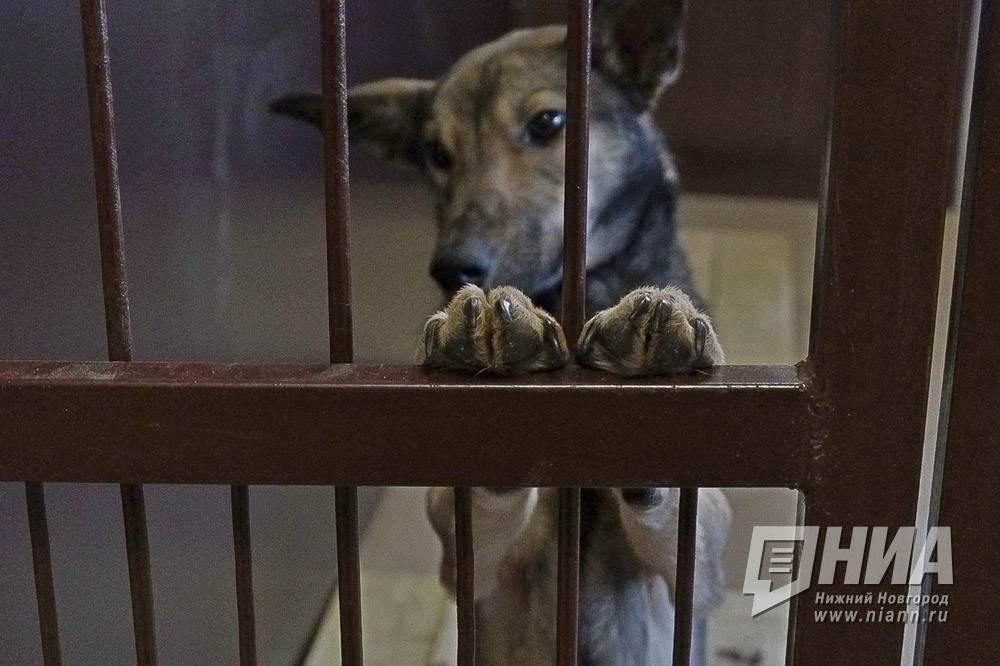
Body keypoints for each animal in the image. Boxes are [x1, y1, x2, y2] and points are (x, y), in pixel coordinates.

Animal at [273, 0, 731, 662]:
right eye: (436, 154)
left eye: (549, 122)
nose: (450, 267)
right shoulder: (472, 562)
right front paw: (492, 335)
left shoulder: (699, 569)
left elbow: (681, 513)